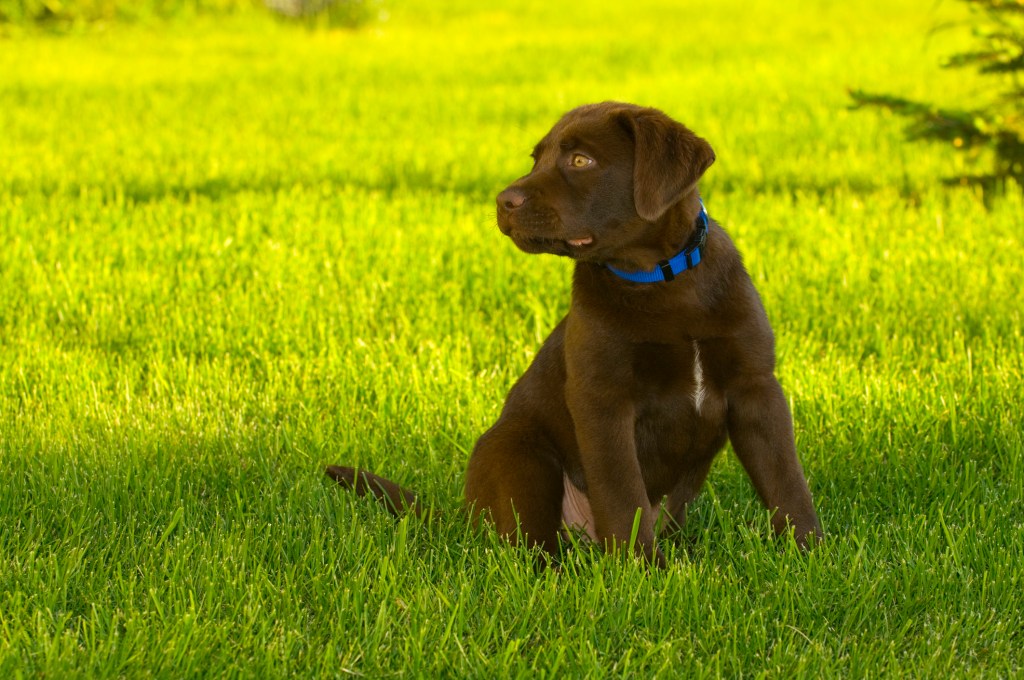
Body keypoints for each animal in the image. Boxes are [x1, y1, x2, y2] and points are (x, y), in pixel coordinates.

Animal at [327, 100, 823, 561]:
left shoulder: (756, 387)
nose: (502, 201)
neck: (660, 279)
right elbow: (623, 494)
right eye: (536, 158)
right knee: (531, 547)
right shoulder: (602, 400)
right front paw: (644, 570)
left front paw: (811, 555)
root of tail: (465, 513)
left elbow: (786, 479)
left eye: (580, 160)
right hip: (520, 457)